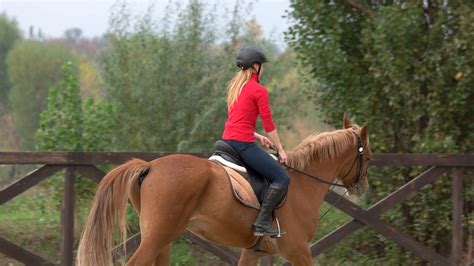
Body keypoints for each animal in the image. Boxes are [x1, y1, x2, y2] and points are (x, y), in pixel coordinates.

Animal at [76, 115, 372, 266]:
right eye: (368, 156)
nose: (362, 188)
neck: (301, 183)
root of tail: (149, 165)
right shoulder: (298, 251)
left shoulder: (253, 252)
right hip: (158, 236)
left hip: (160, 238)